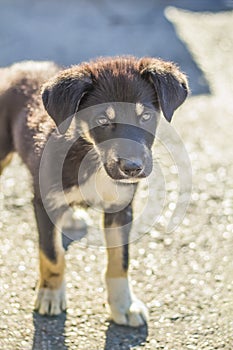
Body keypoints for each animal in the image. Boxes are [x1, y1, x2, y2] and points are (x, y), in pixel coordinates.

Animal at [0, 56, 187, 326]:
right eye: (102, 120)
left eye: (145, 116)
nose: (132, 168)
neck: (91, 154)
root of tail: (18, 68)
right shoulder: (44, 200)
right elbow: (52, 254)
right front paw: (50, 294)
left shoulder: (121, 209)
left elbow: (120, 260)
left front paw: (124, 305)